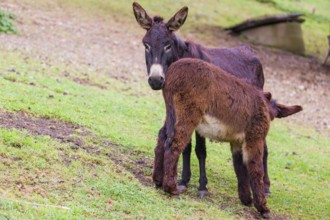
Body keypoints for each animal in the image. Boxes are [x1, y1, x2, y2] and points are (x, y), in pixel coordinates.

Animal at [153, 57, 302, 217]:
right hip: (188, 114)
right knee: (174, 144)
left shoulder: (237, 142)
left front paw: (246, 199)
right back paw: (171, 188)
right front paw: (263, 208)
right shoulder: (254, 138)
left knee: (162, 139)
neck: (265, 106)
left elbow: (240, 168)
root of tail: (173, 70)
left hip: (171, 112)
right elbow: (256, 169)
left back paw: (158, 181)